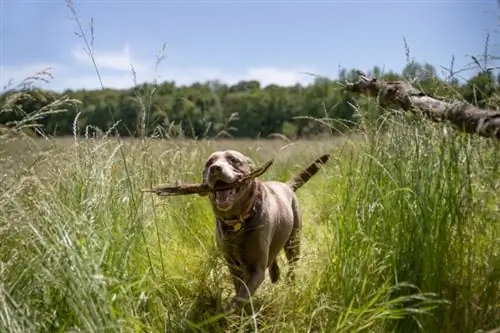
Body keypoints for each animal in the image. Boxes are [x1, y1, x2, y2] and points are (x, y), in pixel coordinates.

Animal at [199, 149, 332, 310]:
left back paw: (290, 286)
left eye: (234, 160)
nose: (215, 169)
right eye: (209, 163)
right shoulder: (232, 264)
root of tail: (286, 185)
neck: (237, 221)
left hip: (293, 240)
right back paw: (275, 274)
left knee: (292, 266)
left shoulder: (257, 269)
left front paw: (228, 313)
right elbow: (239, 287)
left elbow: (241, 296)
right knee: (273, 254)